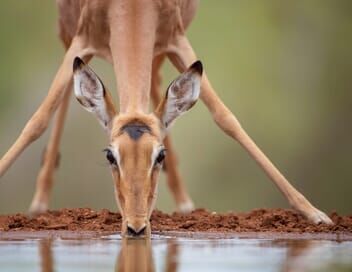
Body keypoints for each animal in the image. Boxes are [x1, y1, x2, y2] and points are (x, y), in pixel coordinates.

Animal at [0, 0, 332, 237]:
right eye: (110, 156)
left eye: (160, 156)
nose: (135, 228)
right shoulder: (81, 39)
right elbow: (38, 119)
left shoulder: (176, 39)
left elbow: (225, 117)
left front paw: (315, 213)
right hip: (66, 32)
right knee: (68, 98)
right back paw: (39, 201)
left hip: (158, 54)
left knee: (159, 88)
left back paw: (185, 202)